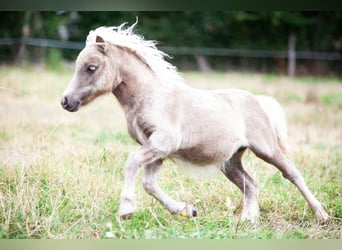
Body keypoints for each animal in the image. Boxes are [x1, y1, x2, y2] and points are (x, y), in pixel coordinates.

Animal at [60, 22, 328, 225]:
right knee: (250, 185)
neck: (151, 97)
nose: (66, 101)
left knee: (291, 173)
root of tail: (258, 100)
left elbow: (132, 163)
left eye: (91, 67)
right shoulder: (156, 148)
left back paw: (321, 215)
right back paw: (248, 221)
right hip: (230, 161)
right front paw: (187, 210)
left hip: (266, 148)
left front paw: (126, 209)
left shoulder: (162, 142)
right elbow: (149, 183)